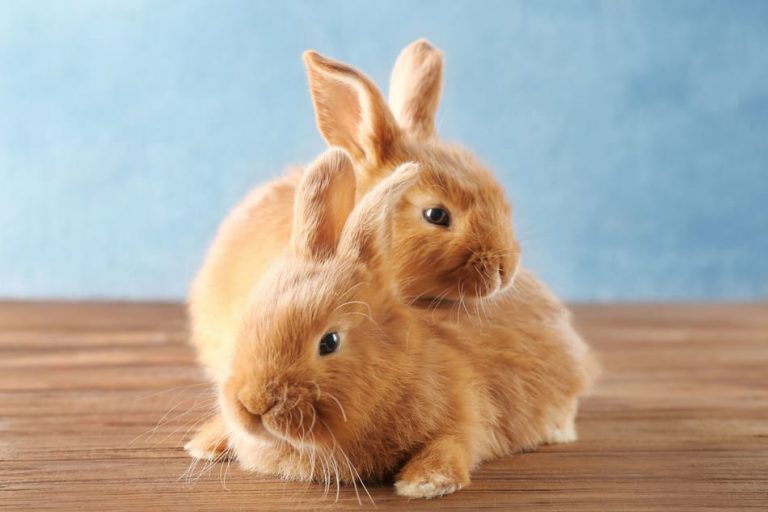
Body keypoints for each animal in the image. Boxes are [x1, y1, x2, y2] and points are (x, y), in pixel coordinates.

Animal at [186, 149, 596, 499]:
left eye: (329, 341)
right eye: (248, 320)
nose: (253, 404)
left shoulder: (465, 415)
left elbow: (454, 443)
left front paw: (424, 483)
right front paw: (205, 444)